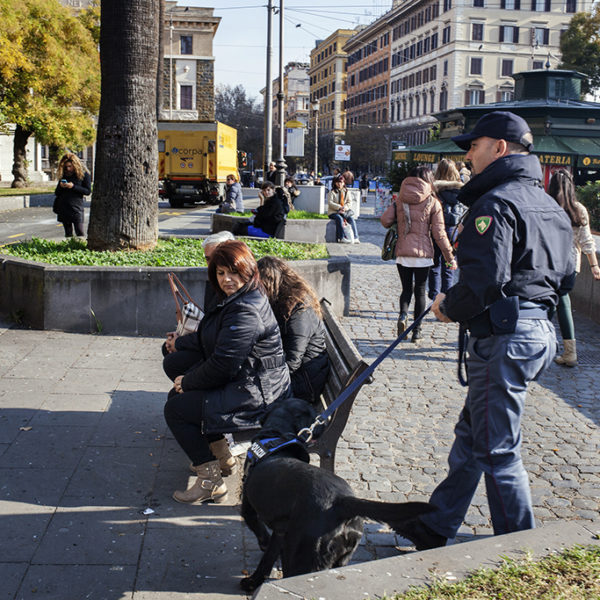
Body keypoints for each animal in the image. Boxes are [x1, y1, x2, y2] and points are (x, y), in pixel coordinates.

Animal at [240, 398, 436, 592]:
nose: (324, 422)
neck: (276, 435)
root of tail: (342, 501)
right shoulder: (280, 533)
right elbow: (268, 557)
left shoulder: (249, 508)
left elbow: (257, 529)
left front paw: (252, 578)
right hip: (339, 557)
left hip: (302, 557)